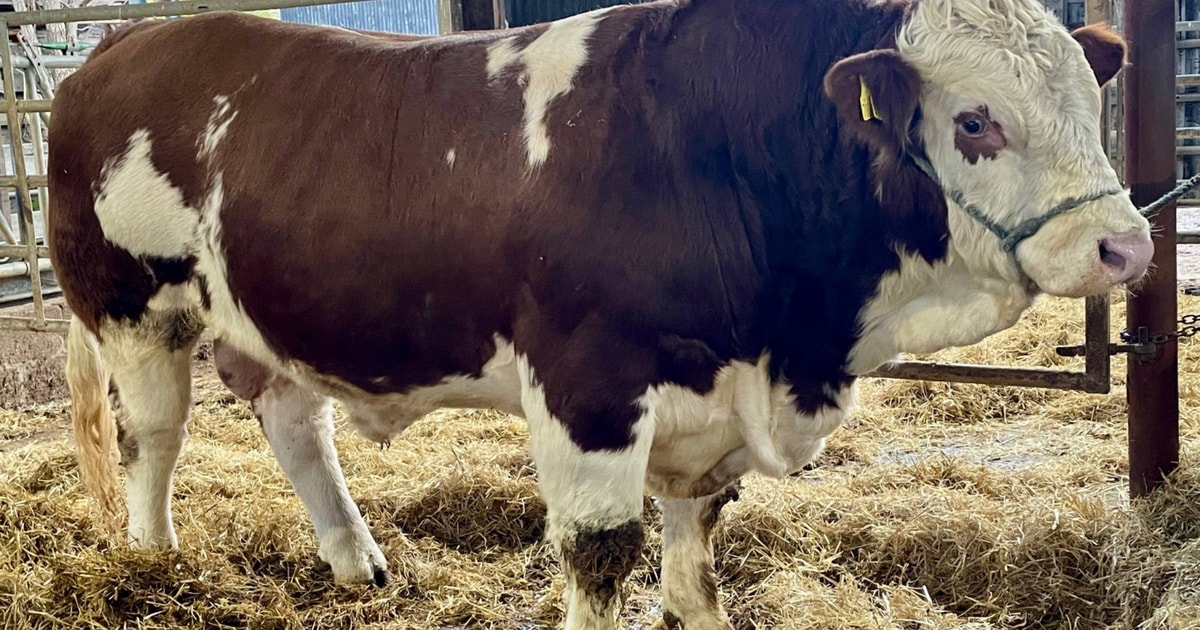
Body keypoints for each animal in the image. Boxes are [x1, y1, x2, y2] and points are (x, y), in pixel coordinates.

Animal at [47, 0, 1149, 626]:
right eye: (976, 121)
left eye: (1089, 106)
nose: (1126, 246)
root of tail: (129, 38)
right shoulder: (588, 385)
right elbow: (602, 551)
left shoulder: (707, 405)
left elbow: (696, 553)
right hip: (136, 305)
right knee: (154, 435)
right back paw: (151, 561)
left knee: (293, 422)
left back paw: (359, 564)